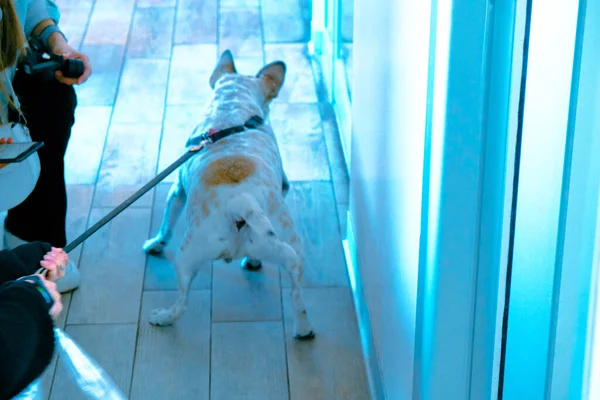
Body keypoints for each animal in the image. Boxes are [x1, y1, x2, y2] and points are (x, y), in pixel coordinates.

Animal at [142, 48, 316, 340]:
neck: (233, 111)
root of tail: (240, 203)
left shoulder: (177, 191)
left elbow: (166, 222)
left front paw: (155, 243)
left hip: (186, 255)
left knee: (182, 302)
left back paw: (162, 317)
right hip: (290, 249)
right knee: (297, 295)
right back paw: (303, 329)